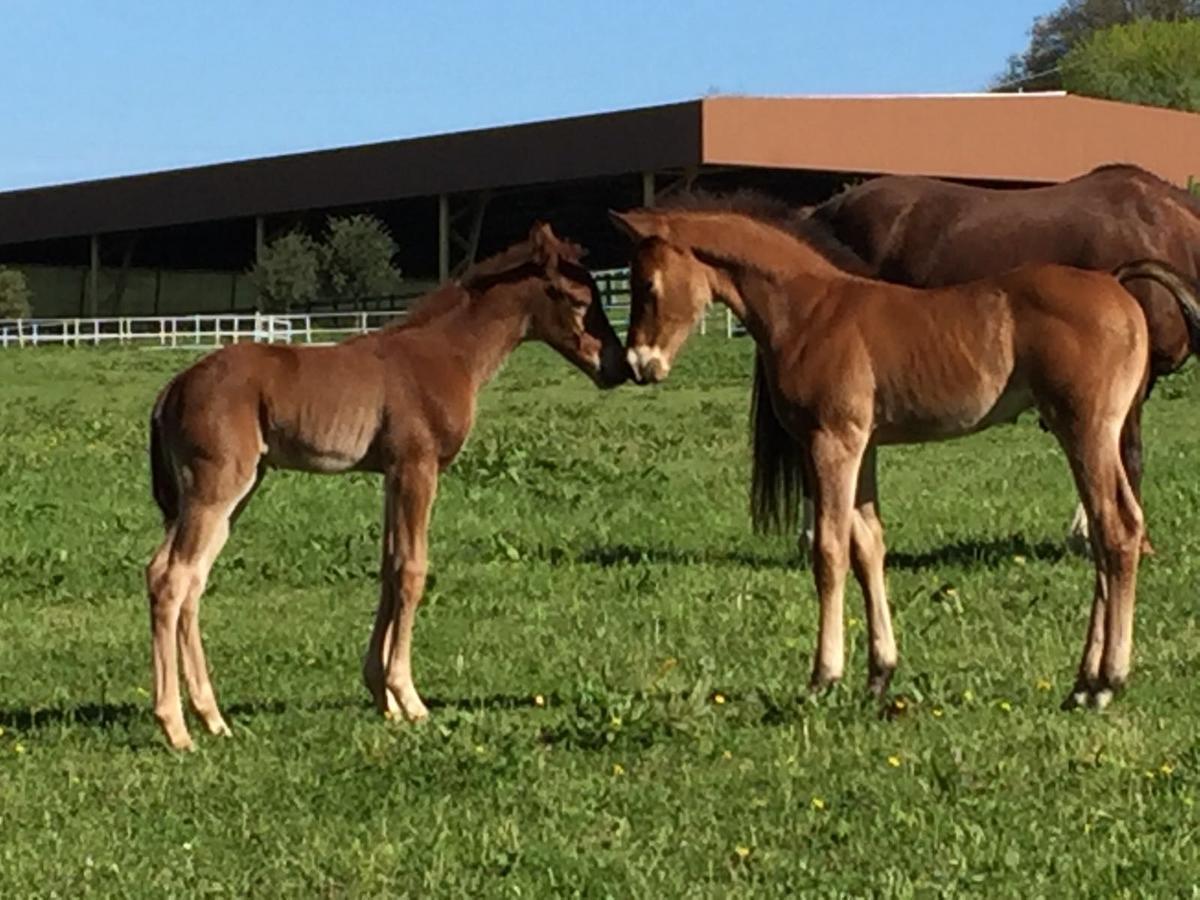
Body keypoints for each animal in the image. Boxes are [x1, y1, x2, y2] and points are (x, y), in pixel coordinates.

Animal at [147, 225, 628, 753]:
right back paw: (176, 727)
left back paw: (213, 718)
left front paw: (383, 698)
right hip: (216, 489)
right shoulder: (417, 468)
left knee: (188, 578)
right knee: (172, 578)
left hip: (231, 491)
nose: (619, 367)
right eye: (579, 299)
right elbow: (413, 571)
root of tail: (172, 388)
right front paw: (410, 699)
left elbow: (390, 567)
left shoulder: (392, 475)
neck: (447, 353)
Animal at [614, 204, 1200, 710]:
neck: (810, 311)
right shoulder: (864, 446)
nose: (640, 365)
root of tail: (1117, 284)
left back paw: (1106, 683)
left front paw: (823, 676)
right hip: (1100, 434)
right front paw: (880, 674)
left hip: (1084, 430)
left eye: (646, 286)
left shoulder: (833, 441)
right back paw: (1082, 685)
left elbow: (829, 550)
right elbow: (869, 546)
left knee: (1116, 531)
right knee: (1110, 535)